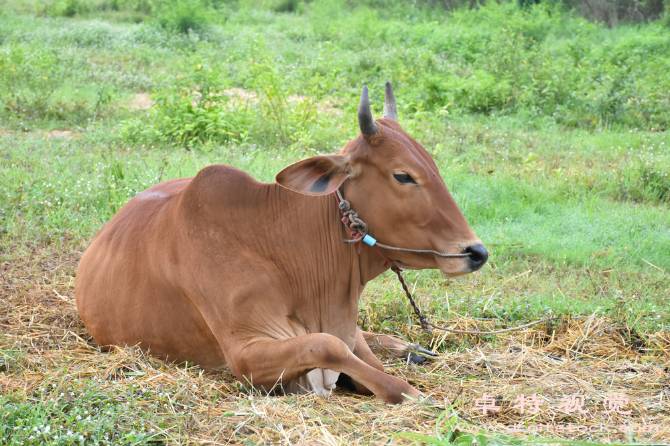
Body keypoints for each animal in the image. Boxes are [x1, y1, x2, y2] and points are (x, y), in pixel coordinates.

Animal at [76, 83, 488, 404]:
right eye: (403, 175)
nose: (476, 252)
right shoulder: (244, 354)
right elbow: (329, 345)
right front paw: (410, 392)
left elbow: (354, 350)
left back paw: (409, 347)